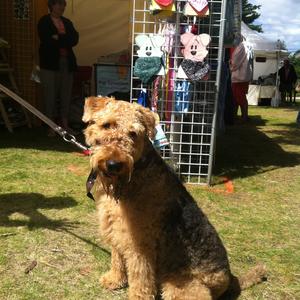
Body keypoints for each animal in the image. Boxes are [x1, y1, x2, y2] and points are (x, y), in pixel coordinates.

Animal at [81, 96, 264, 300]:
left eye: (133, 133)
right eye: (107, 125)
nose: (113, 164)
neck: (135, 174)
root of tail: (230, 278)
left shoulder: (140, 244)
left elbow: (140, 277)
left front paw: (137, 295)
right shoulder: (117, 229)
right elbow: (117, 259)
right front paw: (114, 280)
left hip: (178, 286)